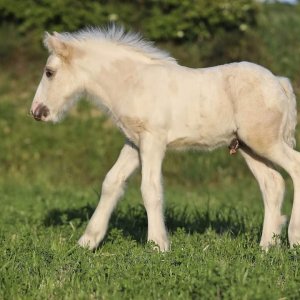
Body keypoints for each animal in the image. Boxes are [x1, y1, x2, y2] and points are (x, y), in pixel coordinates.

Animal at [31, 25, 298, 251]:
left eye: (49, 72)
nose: (37, 112)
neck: (133, 82)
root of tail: (280, 82)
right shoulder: (134, 142)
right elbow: (111, 182)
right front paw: (87, 242)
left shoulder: (153, 140)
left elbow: (150, 188)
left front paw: (158, 245)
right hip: (248, 146)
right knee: (273, 184)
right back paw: (266, 247)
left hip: (265, 141)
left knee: (294, 167)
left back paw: (293, 239)